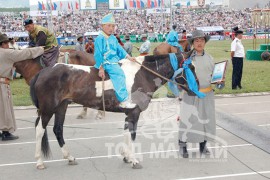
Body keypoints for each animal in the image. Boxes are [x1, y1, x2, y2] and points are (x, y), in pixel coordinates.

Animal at [28, 51, 195, 169]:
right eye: (190, 68)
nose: (196, 88)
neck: (142, 74)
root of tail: (42, 72)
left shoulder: (129, 113)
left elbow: (127, 134)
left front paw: (127, 157)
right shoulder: (134, 112)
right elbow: (132, 135)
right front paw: (134, 160)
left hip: (61, 107)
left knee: (58, 129)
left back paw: (69, 157)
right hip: (48, 109)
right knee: (39, 130)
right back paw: (39, 161)